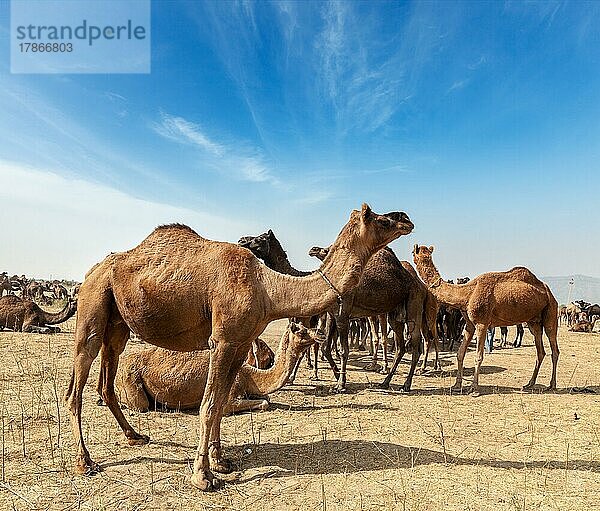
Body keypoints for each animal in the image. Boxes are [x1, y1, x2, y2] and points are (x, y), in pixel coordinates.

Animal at [118, 324, 324, 416]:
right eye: (301, 331)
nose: (320, 333)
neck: (249, 375)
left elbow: (266, 398)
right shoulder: (229, 399)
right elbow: (265, 402)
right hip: (131, 381)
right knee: (141, 405)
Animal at [412, 245, 556, 396]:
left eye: (415, 252)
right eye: (421, 253)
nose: (416, 255)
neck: (467, 294)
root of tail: (548, 291)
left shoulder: (482, 323)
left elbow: (478, 356)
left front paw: (474, 388)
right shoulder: (470, 325)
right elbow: (460, 353)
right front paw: (457, 385)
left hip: (551, 311)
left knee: (554, 348)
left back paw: (552, 385)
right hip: (534, 322)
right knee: (540, 351)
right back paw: (529, 383)